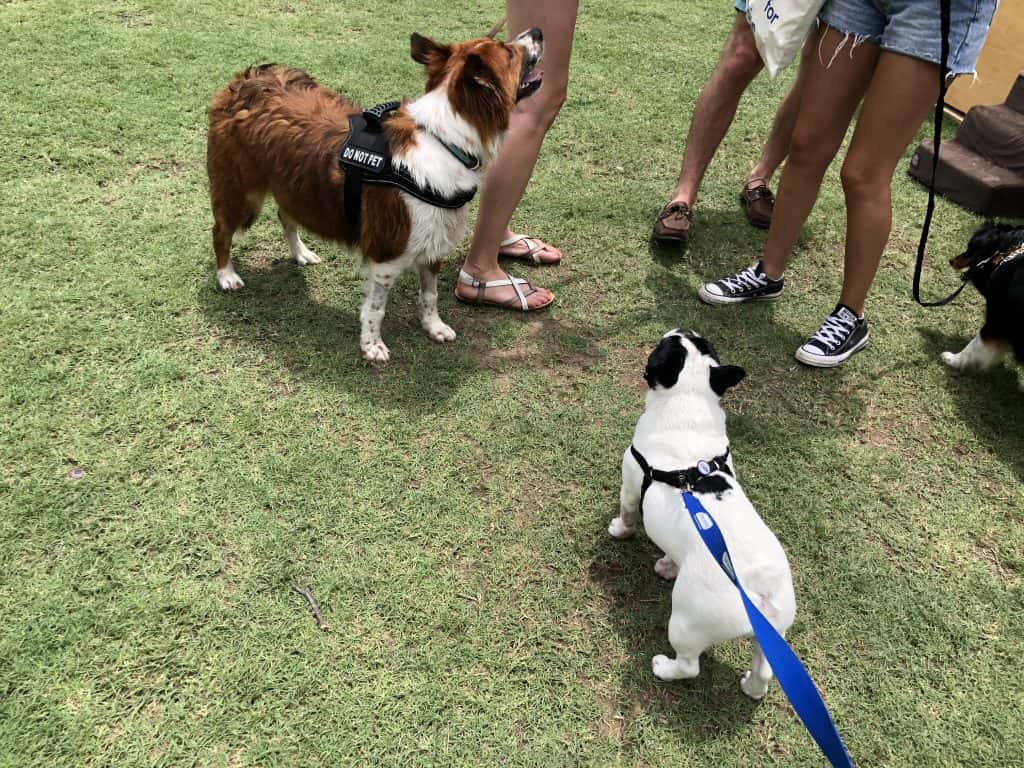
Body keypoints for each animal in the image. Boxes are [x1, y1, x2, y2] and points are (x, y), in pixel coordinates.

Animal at [206, 30, 544, 361]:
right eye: (509, 51)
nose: (538, 32)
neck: (443, 141)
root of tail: (248, 80)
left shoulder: (434, 243)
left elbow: (430, 294)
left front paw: (433, 326)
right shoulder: (387, 253)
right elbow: (375, 308)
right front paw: (371, 345)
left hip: (292, 186)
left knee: (284, 215)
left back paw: (300, 252)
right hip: (241, 191)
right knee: (221, 231)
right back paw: (226, 275)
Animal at [607, 330, 795, 699]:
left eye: (660, 349)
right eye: (705, 342)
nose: (684, 330)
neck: (689, 398)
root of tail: (760, 589)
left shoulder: (631, 483)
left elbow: (628, 513)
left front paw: (619, 530)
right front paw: (668, 564)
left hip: (687, 622)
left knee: (689, 665)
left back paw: (664, 668)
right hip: (775, 633)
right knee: (764, 670)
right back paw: (751, 688)